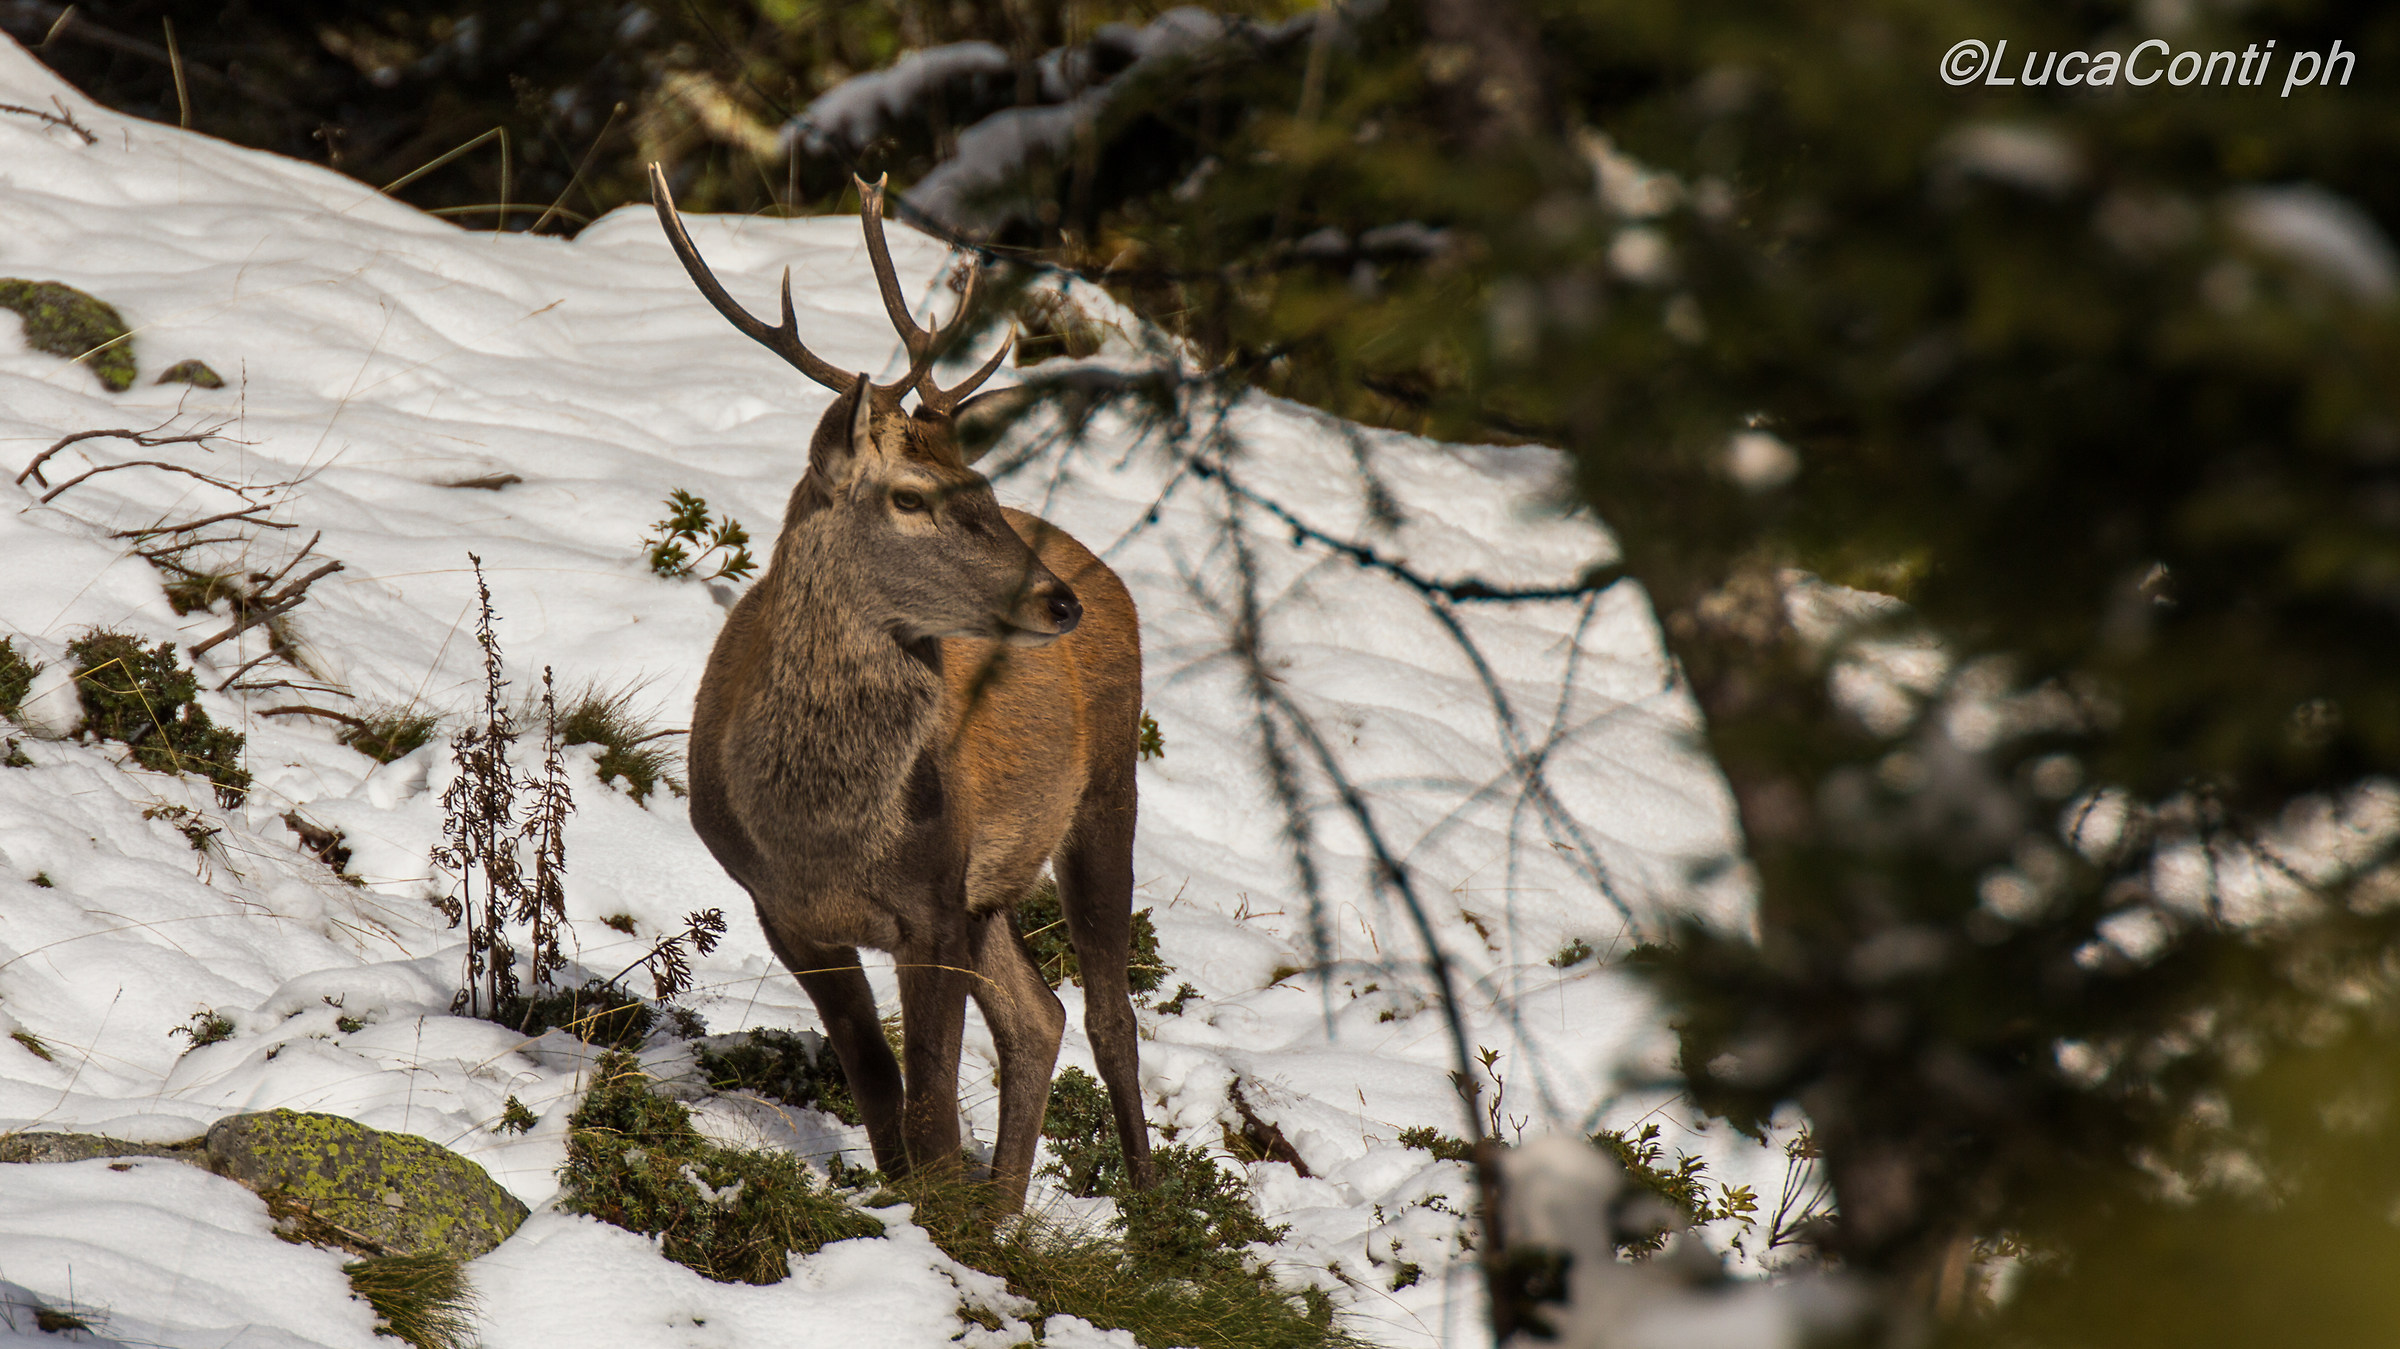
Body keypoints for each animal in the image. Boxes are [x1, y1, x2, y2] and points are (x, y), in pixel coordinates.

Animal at [647, 164, 1155, 1211]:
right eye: (911, 497)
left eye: (987, 487)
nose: (1058, 599)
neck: (821, 828)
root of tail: (1103, 568)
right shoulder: (788, 914)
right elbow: (885, 1100)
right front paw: (924, 1217)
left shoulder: (932, 900)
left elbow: (932, 1116)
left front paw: (942, 1227)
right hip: (993, 885)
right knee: (1038, 1015)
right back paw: (1004, 1218)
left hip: (1106, 786)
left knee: (1108, 1017)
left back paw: (1155, 1221)